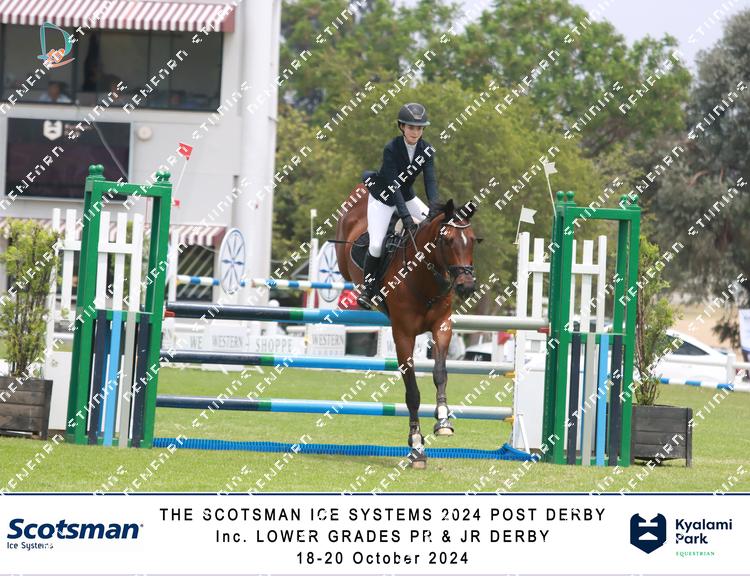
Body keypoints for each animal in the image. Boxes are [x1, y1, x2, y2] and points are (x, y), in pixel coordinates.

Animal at [335, 185, 479, 469]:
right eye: (447, 241)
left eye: (472, 239)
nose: (466, 286)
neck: (423, 276)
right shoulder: (403, 336)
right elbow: (412, 392)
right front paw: (416, 446)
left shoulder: (442, 327)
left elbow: (440, 374)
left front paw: (443, 420)